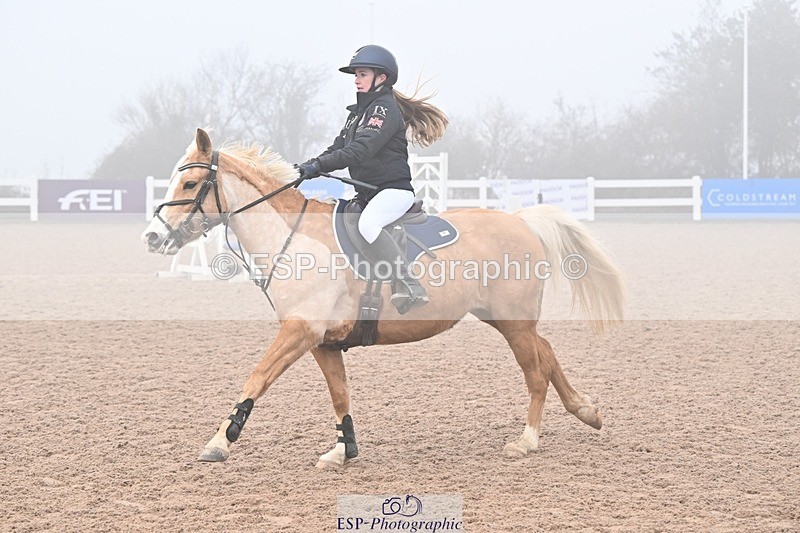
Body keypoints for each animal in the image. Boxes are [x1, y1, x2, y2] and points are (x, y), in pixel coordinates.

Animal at [141, 128, 625, 467]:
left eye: (189, 185)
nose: (152, 237)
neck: (293, 237)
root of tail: (521, 219)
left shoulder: (300, 331)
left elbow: (257, 377)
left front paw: (219, 442)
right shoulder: (322, 342)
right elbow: (339, 395)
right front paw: (343, 450)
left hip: (514, 322)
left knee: (536, 370)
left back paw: (527, 440)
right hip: (505, 319)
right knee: (548, 352)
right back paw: (586, 411)